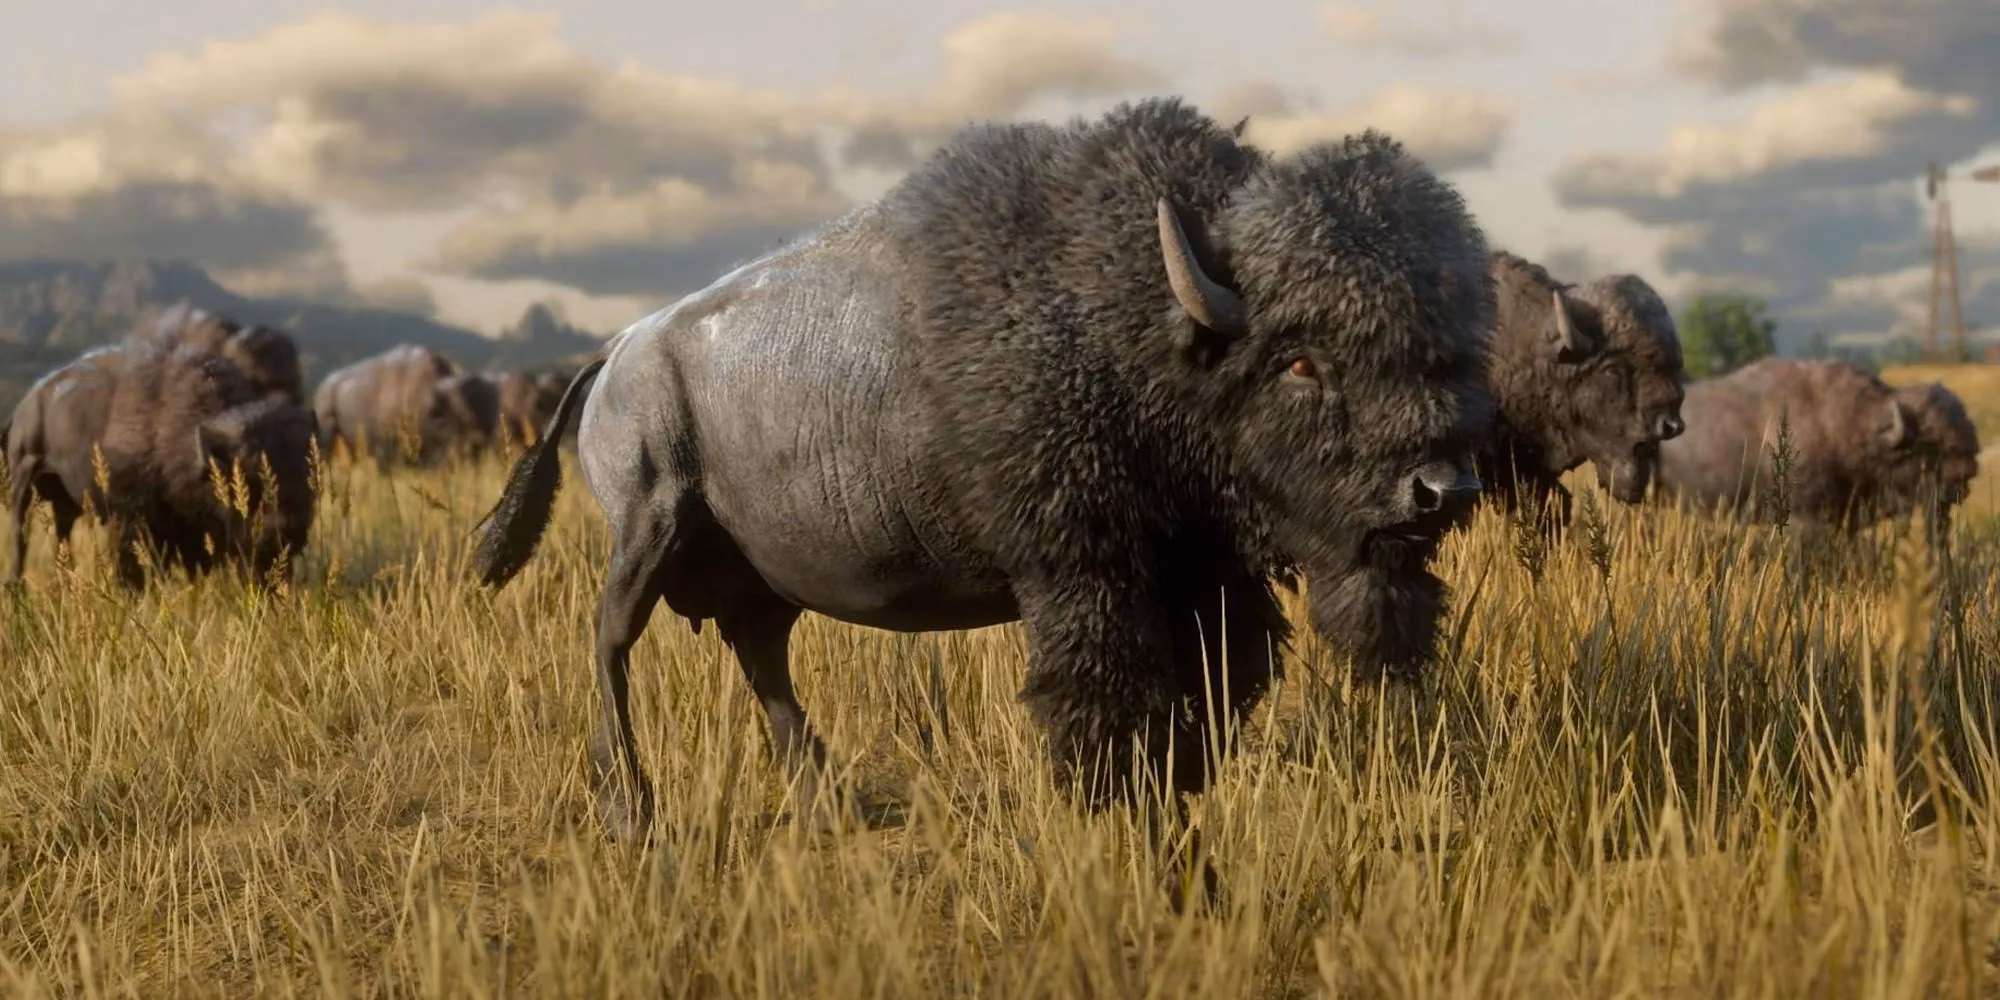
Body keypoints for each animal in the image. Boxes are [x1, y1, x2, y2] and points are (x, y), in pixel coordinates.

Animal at [4, 339, 318, 589]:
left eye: (308, 478)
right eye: (246, 481)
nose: (286, 529)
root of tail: (26, 404)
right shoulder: (129, 521)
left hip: (66, 502)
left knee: (62, 534)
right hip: (23, 483)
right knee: (20, 536)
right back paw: (16, 587)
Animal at [472, 96, 1496, 891]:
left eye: (1450, 345)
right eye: (1300, 359)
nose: (1439, 489)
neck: (1136, 319)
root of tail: (620, 350)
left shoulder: (1207, 586)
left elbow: (1206, 703)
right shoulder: (1084, 579)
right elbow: (1107, 708)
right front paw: (1132, 831)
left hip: (758, 573)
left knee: (761, 658)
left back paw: (827, 802)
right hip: (647, 528)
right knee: (610, 642)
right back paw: (632, 810)